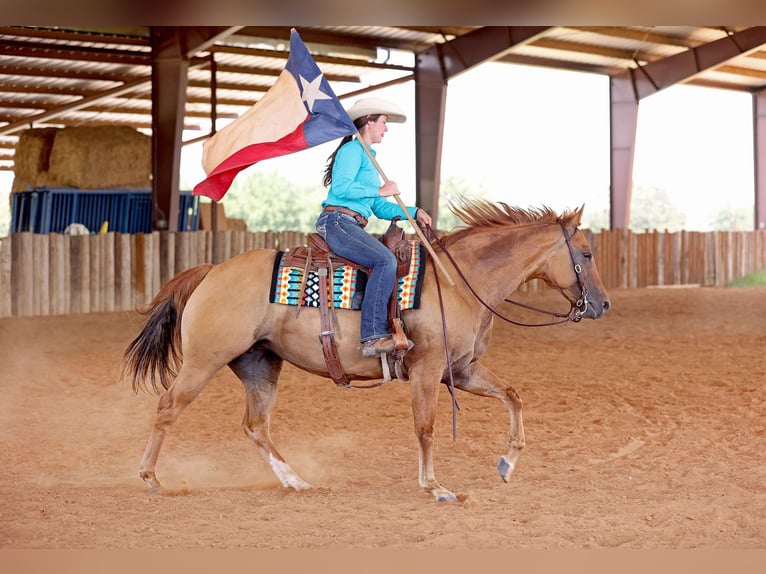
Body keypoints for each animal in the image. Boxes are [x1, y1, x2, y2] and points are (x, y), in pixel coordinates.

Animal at [121, 199, 612, 504]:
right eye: (586, 254)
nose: (603, 304)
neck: (458, 281)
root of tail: (211, 271)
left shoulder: (463, 369)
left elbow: (513, 395)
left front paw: (508, 462)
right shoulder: (428, 370)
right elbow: (426, 427)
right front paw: (435, 487)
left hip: (260, 364)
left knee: (256, 426)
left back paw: (297, 481)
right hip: (203, 361)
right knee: (167, 408)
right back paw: (149, 477)